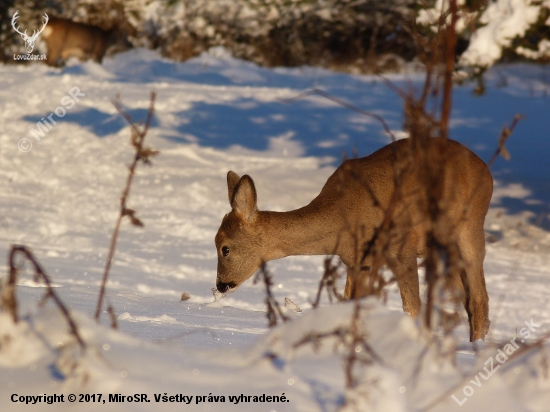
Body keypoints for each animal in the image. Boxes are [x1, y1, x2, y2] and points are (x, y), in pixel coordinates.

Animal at [216, 138, 496, 342]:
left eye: (224, 248)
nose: (220, 284)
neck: (344, 216)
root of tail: (486, 169)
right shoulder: (356, 260)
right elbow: (351, 303)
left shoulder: (401, 250)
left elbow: (412, 307)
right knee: (466, 298)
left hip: (470, 226)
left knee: (479, 297)